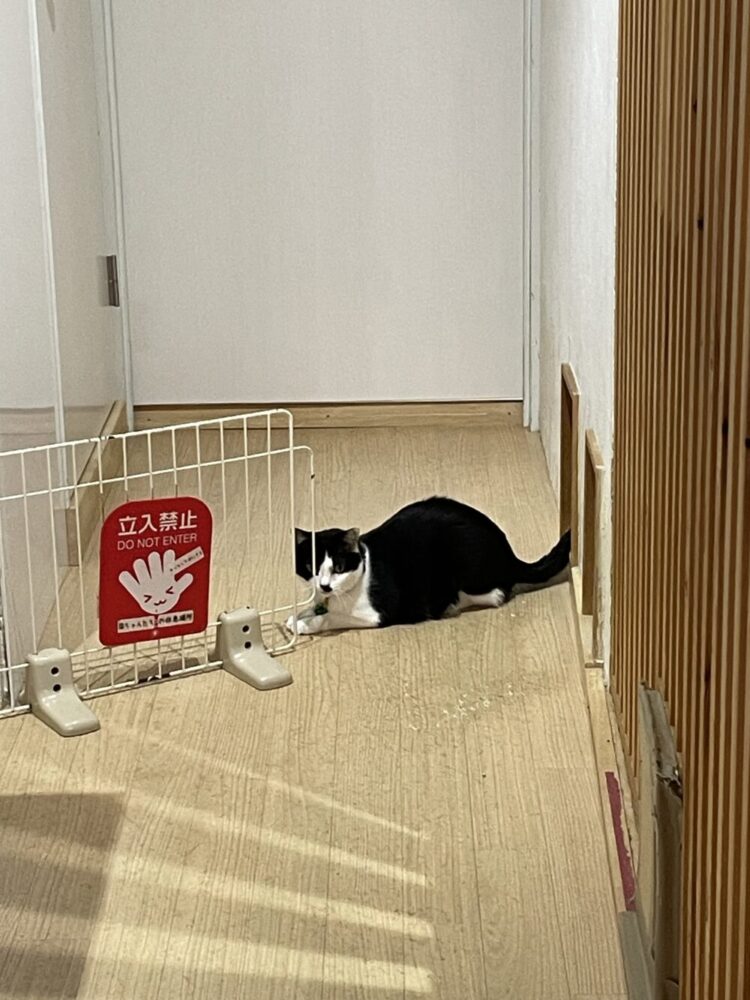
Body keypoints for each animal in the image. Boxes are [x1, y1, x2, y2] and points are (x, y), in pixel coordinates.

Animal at [286, 496, 571, 635]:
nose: (324, 586)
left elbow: (332, 617)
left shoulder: (377, 613)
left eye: (338, 567)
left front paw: (305, 625)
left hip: (463, 562)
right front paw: (297, 616)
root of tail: (508, 552)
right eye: (311, 567)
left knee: (497, 592)